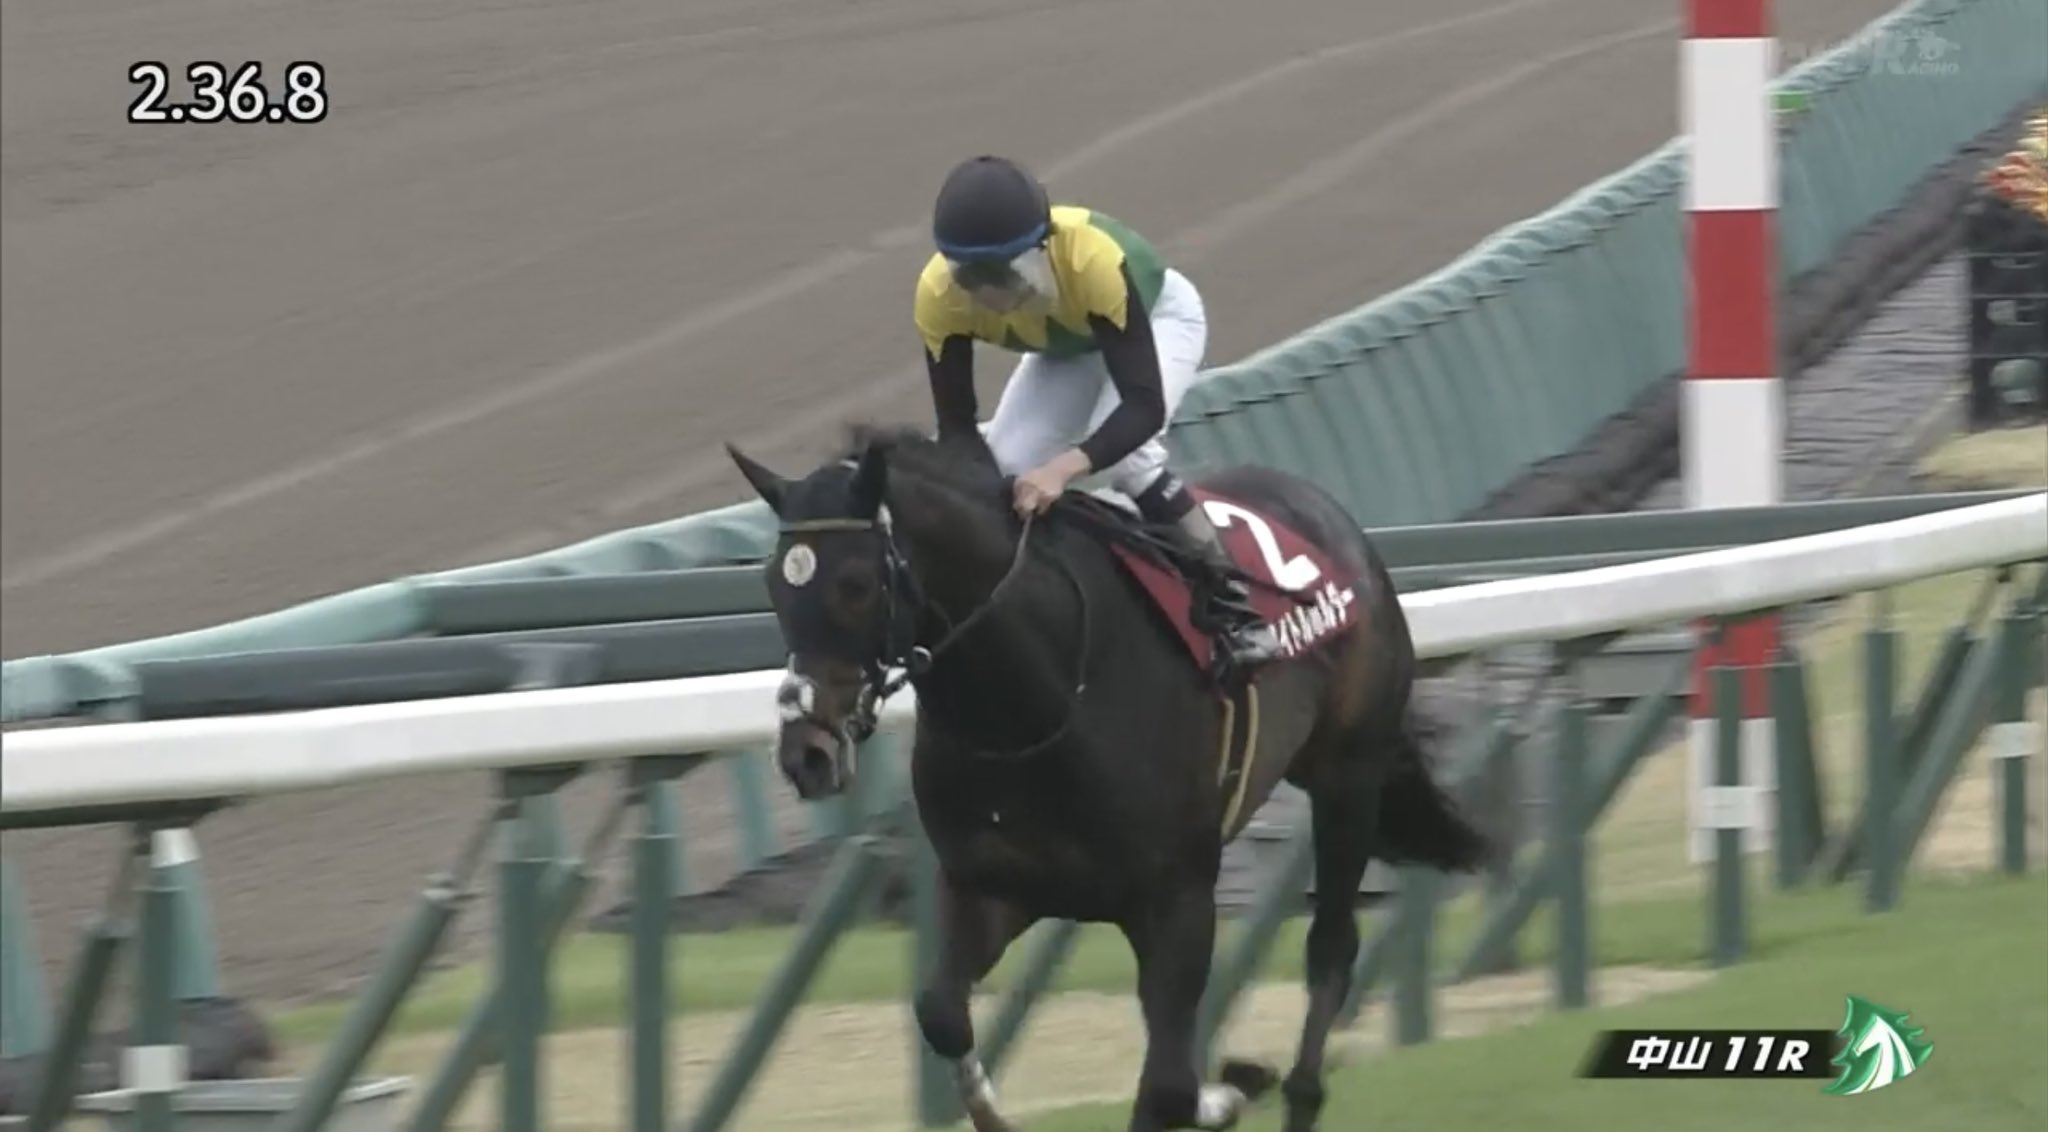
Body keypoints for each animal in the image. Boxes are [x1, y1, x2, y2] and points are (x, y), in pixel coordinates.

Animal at [725, 422, 1489, 1132]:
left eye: (855, 585)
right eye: (772, 584)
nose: (806, 752)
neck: (1036, 698)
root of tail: (1334, 519)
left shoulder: (1178, 896)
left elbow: (1169, 1087)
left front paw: (1231, 1085)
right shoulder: (996, 884)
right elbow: (941, 1011)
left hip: (1347, 778)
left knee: (1330, 947)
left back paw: (1298, 1087)